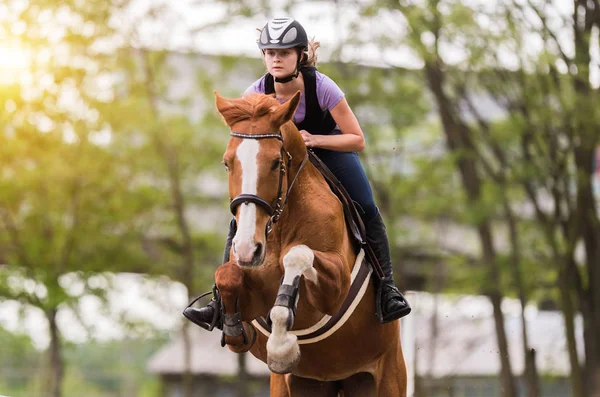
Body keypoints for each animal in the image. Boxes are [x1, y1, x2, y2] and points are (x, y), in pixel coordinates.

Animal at [213, 90, 406, 396]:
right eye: (227, 163)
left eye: (276, 163)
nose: (247, 249)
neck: (280, 226)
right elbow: (227, 276)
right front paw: (233, 329)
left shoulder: (335, 287)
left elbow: (297, 255)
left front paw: (282, 348)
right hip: (298, 385)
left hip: (387, 377)